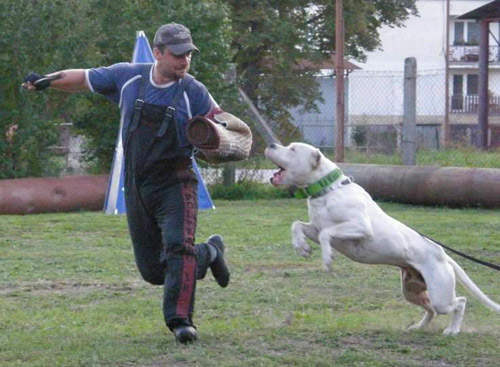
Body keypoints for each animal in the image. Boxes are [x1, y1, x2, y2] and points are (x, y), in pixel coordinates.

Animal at [264, 142, 498, 336]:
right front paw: (301, 247)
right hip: (412, 290)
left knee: (460, 302)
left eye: (293, 149)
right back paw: (418, 327)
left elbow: (326, 235)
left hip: (441, 294)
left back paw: (453, 330)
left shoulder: (360, 227)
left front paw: (327, 258)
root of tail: (443, 255)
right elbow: (298, 225)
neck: (328, 190)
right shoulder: (314, 227)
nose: (271, 144)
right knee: (431, 308)